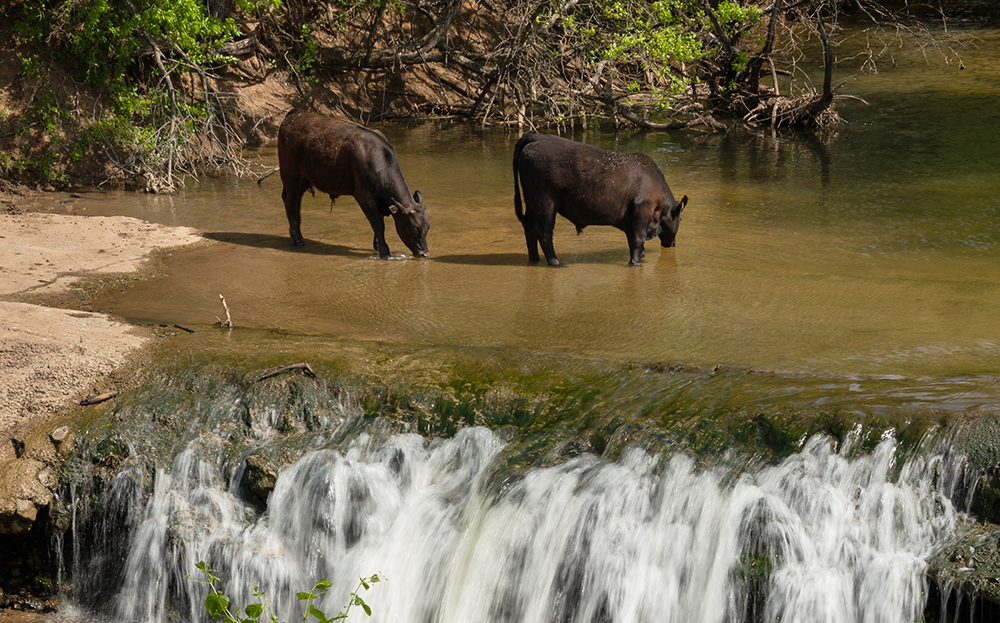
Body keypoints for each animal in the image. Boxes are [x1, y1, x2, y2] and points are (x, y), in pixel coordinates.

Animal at [278, 108, 430, 260]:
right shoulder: (363, 195)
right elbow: (378, 223)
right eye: (414, 228)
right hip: (290, 173)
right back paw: (298, 239)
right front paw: (384, 251)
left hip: (304, 178)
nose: (424, 253)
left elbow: (379, 220)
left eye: (427, 226)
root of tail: (295, 113)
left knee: (296, 201)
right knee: (290, 200)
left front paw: (377, 245)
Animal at [516, 134, 688, 266]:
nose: (673, 244)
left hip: (531, 202)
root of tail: (538, 137)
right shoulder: (643, 210)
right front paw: (634, 263)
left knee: (528, 226)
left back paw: (534, 258)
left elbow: (633, 240)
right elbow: (638, 239)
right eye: (680, 218)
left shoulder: (629, 220)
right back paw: (555, 262)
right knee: (543, 231)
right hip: (546, 202)